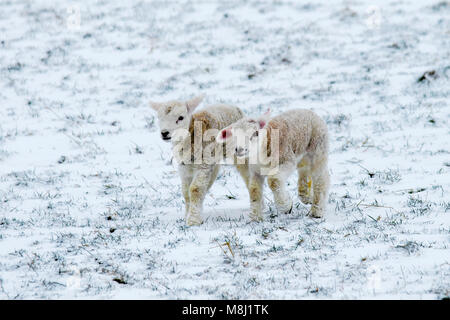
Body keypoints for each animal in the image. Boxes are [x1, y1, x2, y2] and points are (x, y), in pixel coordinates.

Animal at [150, 95, 250, 225]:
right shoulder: (184, 167)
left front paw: (193, 220)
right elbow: (186, 192)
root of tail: (234, 107)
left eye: (181, 117)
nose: (165, 133)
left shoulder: (204, 165)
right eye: (159, 117)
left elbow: (195, 189)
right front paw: (187, 216)